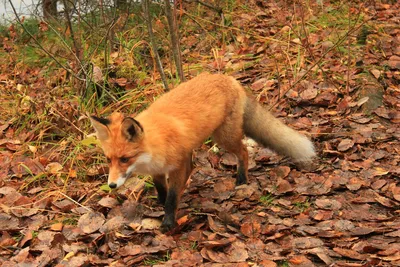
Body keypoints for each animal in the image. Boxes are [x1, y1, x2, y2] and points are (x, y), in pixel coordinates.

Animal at [90, 73, 316, 232]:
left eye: (125, 159)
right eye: (108, 160)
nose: (111, 185)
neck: (155, 146)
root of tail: (228, 78)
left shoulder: (177, 166)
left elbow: (172, 198)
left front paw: (168, 222)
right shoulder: (158, 170)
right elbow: (162, 190)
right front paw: (161, 203)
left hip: (223, 137)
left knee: (243, 151)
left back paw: (242, 179)